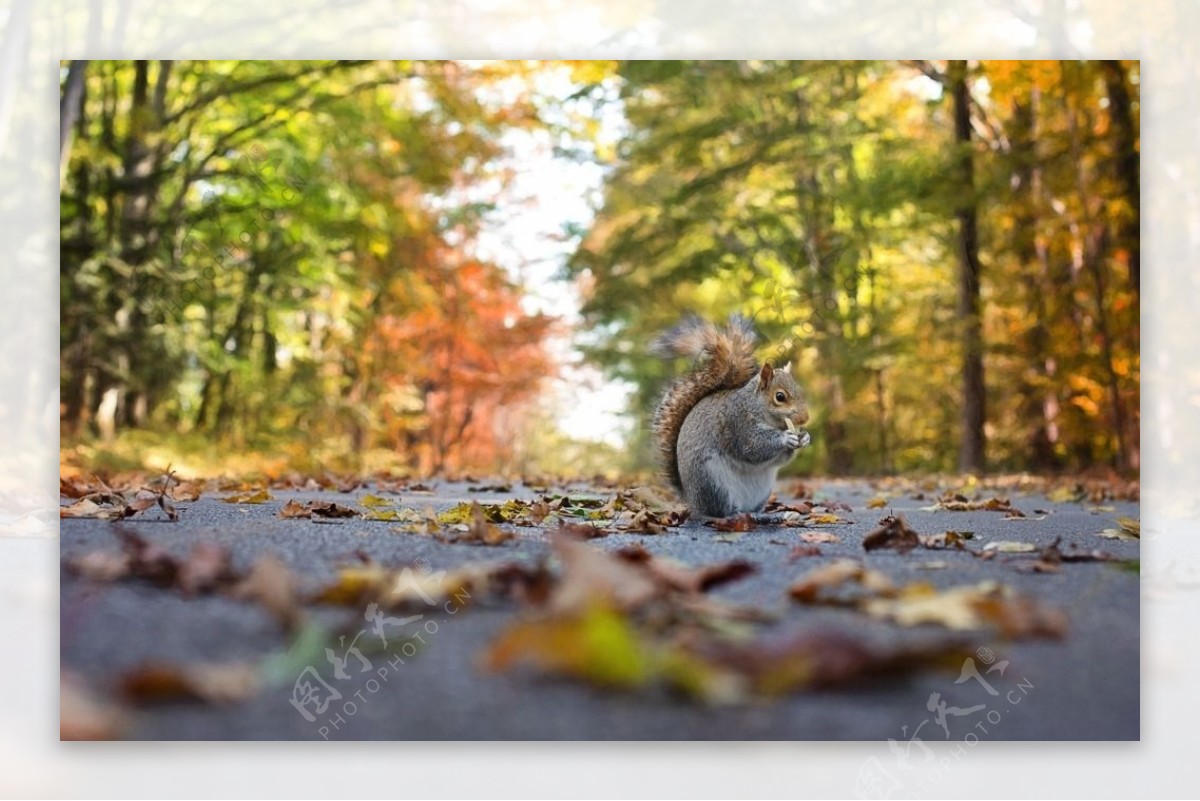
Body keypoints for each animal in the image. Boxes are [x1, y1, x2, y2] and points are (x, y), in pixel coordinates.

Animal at [652, 314, 811, 520]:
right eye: (780, 397)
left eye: (801, 391)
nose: (805, 418)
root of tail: (692, 502)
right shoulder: (736, 423)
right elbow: (752, 447)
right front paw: (786, 438)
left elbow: (779, 459)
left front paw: (805, 437)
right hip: (713, 483)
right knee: (722, 512)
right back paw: (738, 516)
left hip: (762, 491)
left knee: (750, 509)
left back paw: (766, 516)